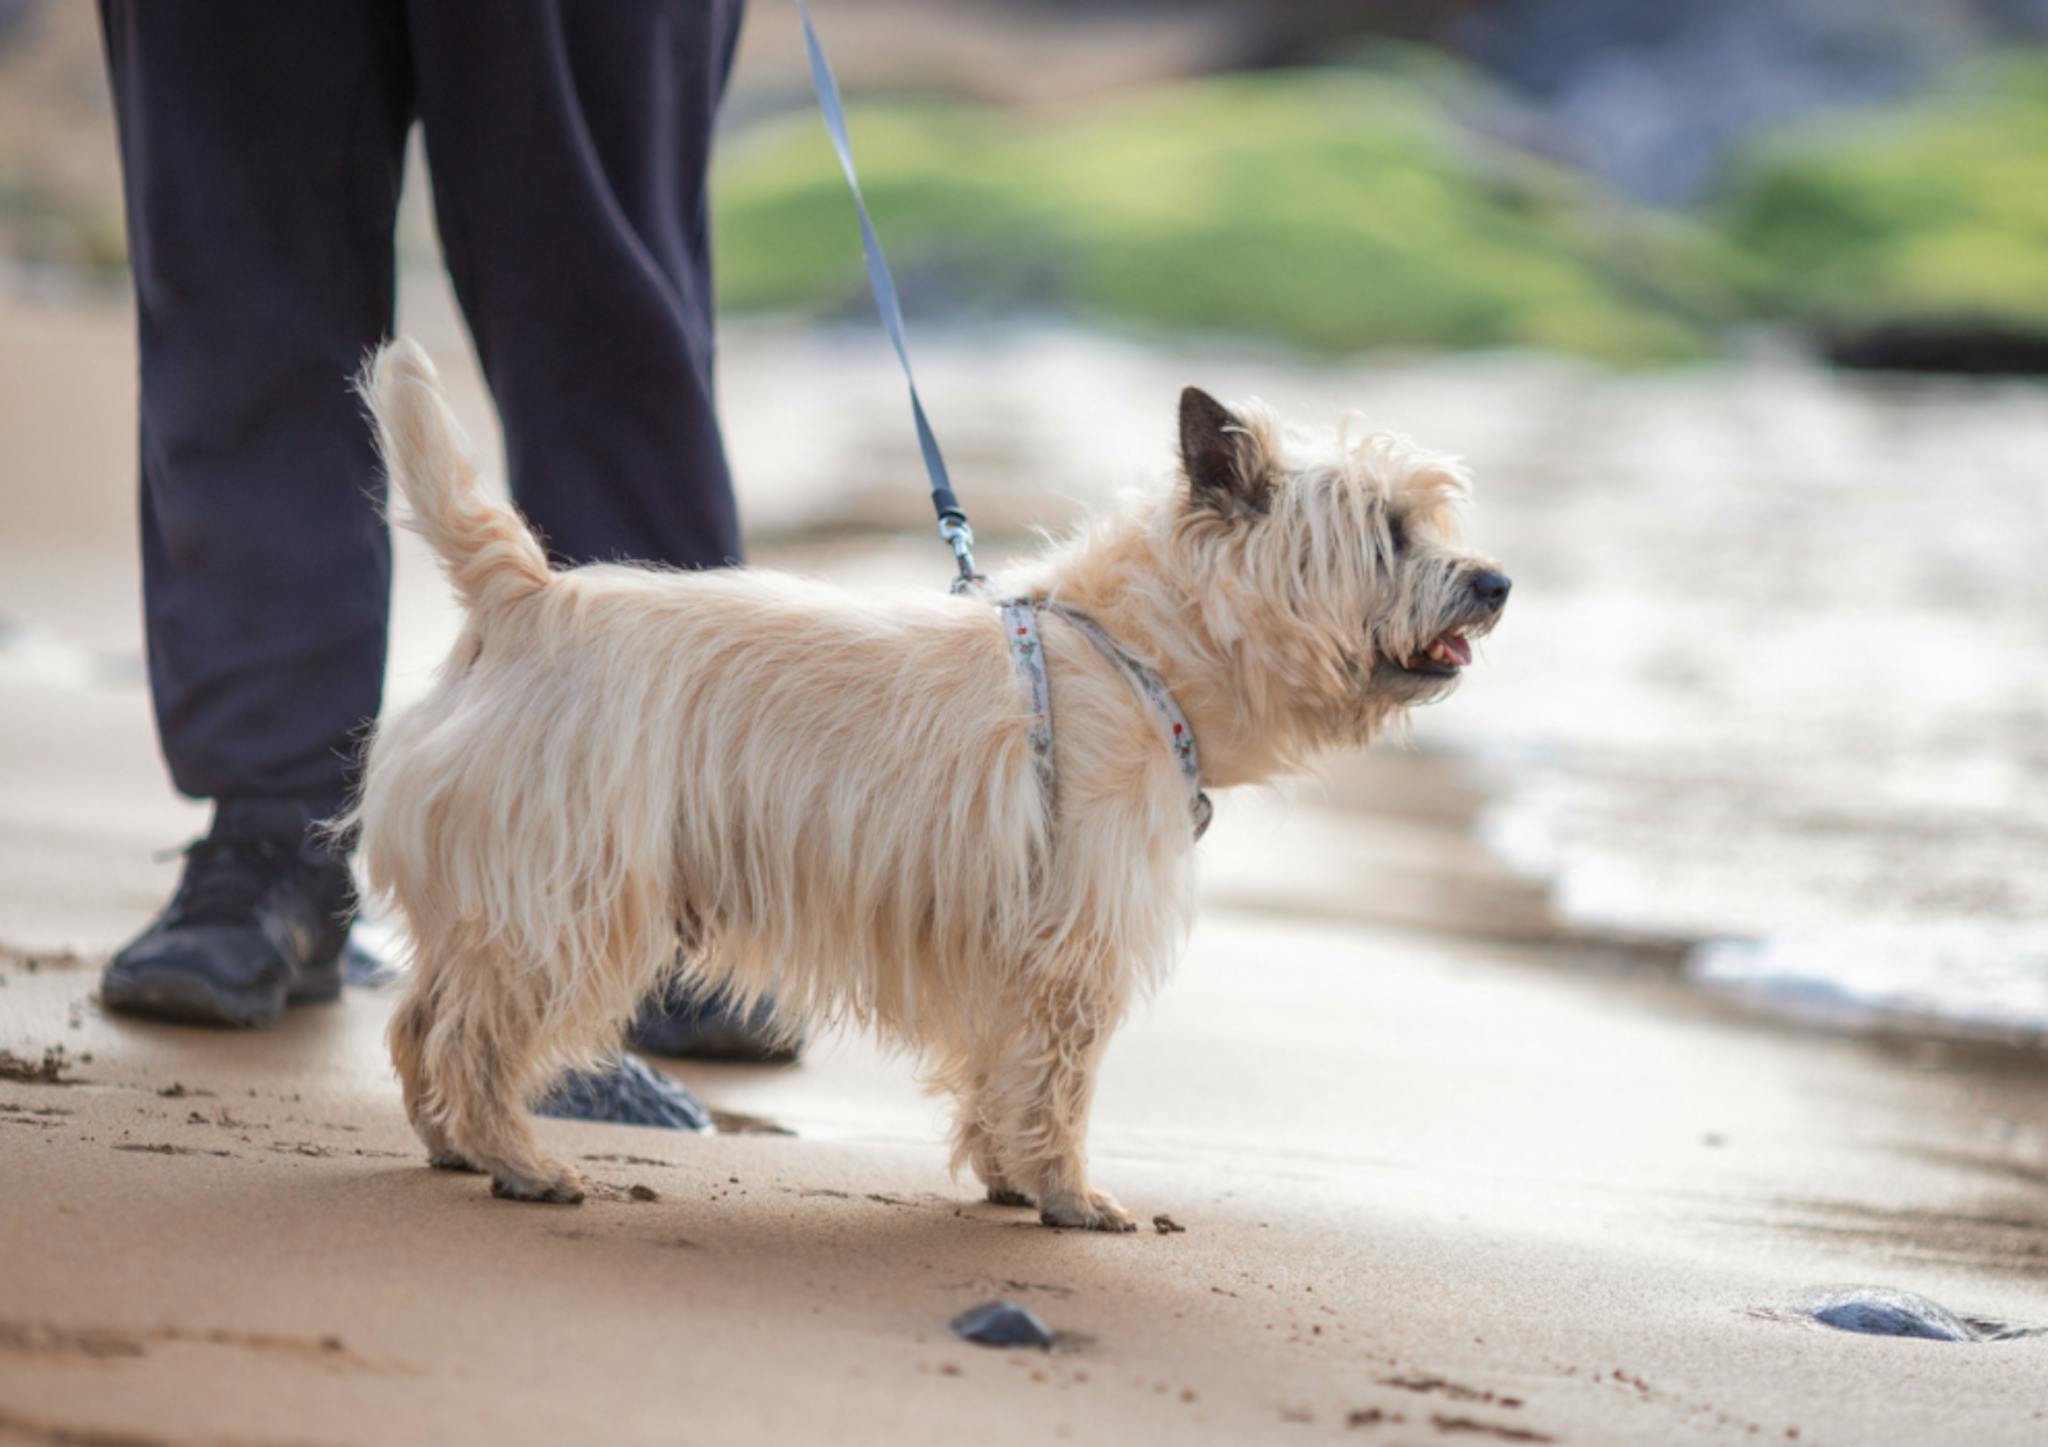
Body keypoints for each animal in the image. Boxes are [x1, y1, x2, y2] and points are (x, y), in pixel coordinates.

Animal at [352, 339, 1507, 1236]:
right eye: (1387, 532)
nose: (1496, 581)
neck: (1142, 652)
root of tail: (525, 598)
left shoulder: (1012, 946)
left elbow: (1008, 1071)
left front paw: (1010, 1179)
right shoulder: (1075, 942)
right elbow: (1061, 1077)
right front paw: (1068, 1194)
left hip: (507, 892)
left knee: (420, 1016)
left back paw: (452, 1144)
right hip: (579, 895)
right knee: (478, 1032)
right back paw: (518, 1159)